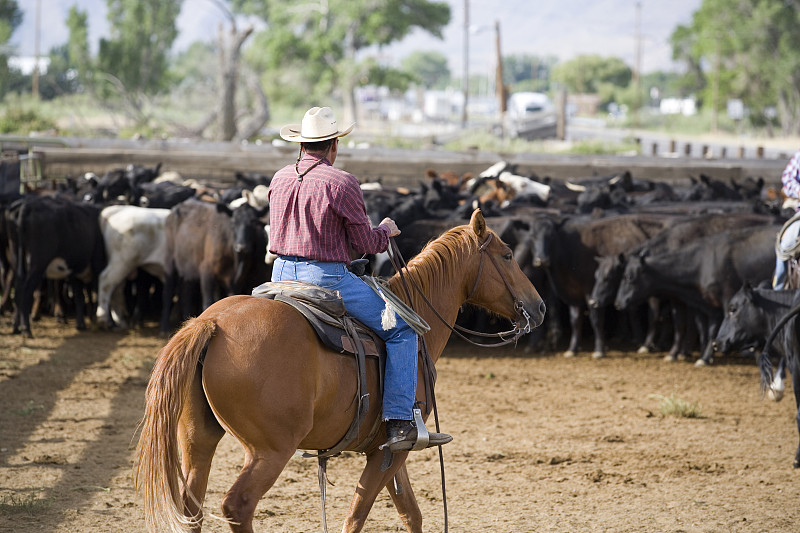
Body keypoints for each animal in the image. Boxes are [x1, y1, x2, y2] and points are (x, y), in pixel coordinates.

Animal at [136, 210, 544, 528]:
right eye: (508, 255)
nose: (538, 307)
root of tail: (212, 324)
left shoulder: (389, 448)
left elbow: (411, 514)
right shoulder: (391, 450)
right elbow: (356, 515)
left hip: (197, 439)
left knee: (192, 507)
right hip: (269, 450)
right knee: (238, 505)